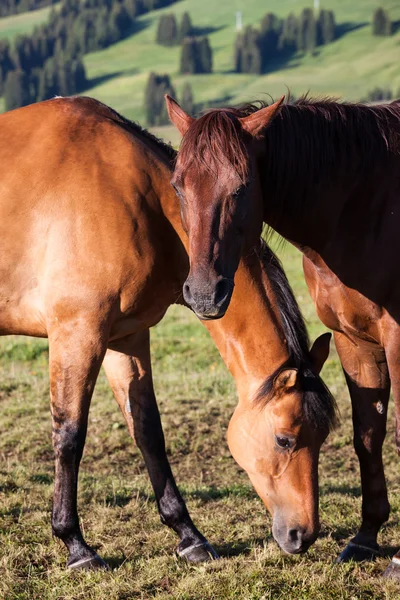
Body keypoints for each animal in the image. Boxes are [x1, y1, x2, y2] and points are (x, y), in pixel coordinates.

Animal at [0, 96, 338, 568]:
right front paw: (75, 545)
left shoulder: (125, 338)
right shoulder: (78, 332)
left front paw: (188, 535)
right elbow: (69, 435)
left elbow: (148, 432)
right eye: (284, 439)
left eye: (323, 437)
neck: (138, 201)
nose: (302, 535)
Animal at [166, 96, 400, 580]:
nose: (204, 292)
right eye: (178, 187)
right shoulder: (353, 340)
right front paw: (364, 539)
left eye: (240, 188)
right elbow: (368, 435)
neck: (364, 210)